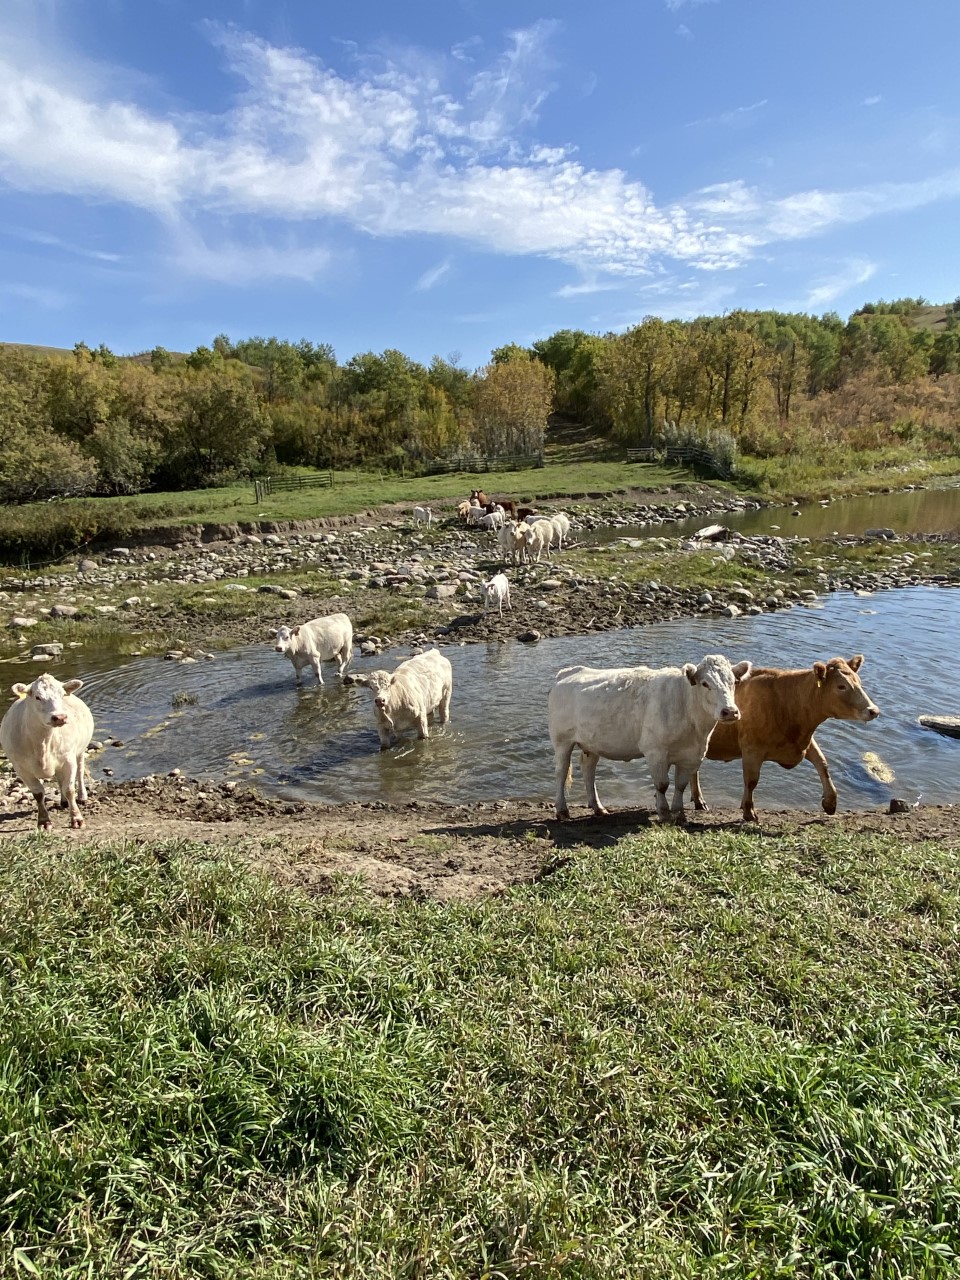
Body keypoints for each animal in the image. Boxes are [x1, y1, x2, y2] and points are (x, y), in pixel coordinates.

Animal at [0, 670, 94, 829]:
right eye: (37, 697)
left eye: (62, 695)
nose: (60, 717)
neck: (42, 744)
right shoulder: (21, 768)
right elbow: (38, 793)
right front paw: (44, 821)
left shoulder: (68, 759)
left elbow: (69, 789)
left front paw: (76, 818)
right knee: (59, 778)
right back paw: (63, 801)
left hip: (80, 750)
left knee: (80, 771)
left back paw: (82, 797)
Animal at [547, 655, 752, 824]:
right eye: (705, 683)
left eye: (733, 682)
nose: (730, 711)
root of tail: (568, 672)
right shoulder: (655, 751)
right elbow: (662, 785)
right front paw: (664, 813)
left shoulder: (691, 755)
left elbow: (681, 785)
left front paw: (679, 814)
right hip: (562, 740)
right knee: (561, 772)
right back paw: (562, 810)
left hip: (592, 742)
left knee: (588, 770)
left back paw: (598, 807)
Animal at [686, 655, 885, 824]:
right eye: (841, 686)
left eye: (858, 682)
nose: (873, 710)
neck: (786, 702)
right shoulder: (752, 749)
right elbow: (751, 781)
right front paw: (749, 812)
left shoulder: (803, 742)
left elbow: (823, 764)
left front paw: (830, 803)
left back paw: (699, 800)